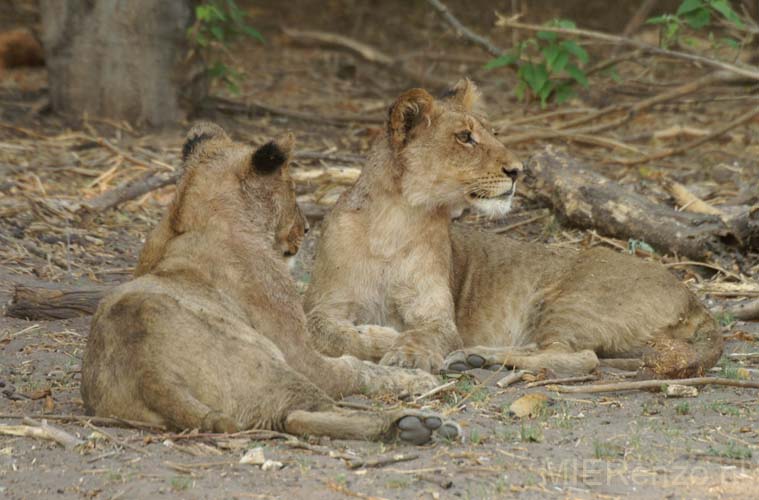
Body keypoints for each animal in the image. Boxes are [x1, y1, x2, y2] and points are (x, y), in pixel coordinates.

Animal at [83, 123, 464, 444]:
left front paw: (387, 337)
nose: (306, 229)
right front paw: (409, 370)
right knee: (303, 410)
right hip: (274, 363)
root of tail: (150, 374)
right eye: (293, 189)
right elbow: (354, 363)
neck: (196, 217)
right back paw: (415, 424)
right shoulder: (297, 346)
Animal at [304, 78, 724, 376]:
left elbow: (426, 333)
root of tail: (693, 296)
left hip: (570, 302)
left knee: (578, 356)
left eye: (492, 133)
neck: (396, 222)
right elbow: (327, 332)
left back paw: (475, 356)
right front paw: (381, 337)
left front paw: (405, 351)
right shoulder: (323, 303)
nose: (518, 170)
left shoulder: (437, 316)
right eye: (465, 137)